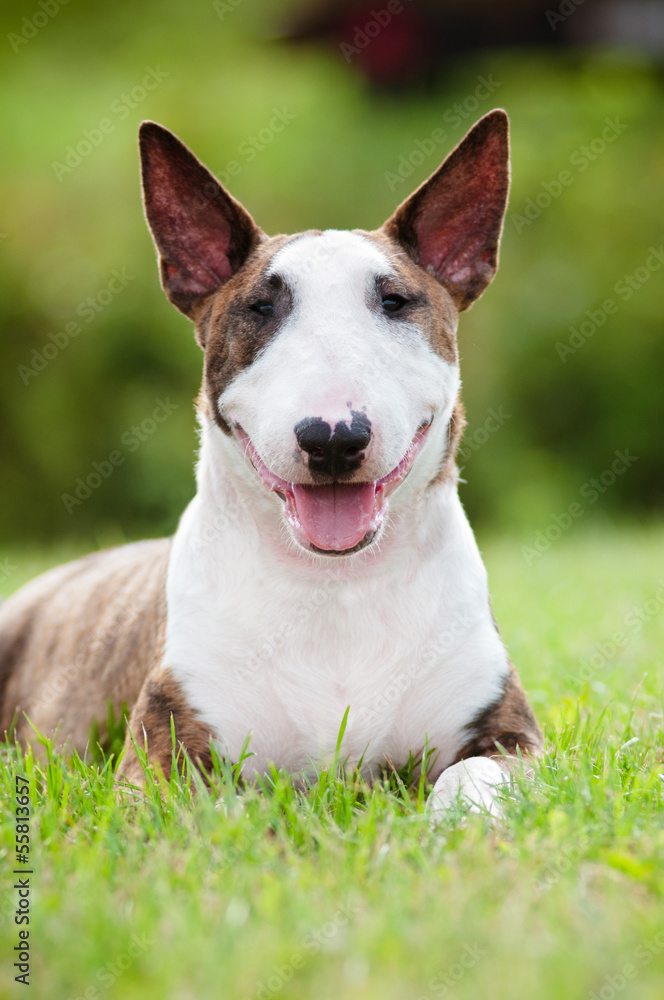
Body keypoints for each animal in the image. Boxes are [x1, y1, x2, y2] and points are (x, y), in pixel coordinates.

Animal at [0, 107, 540, 812]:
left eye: (395, 302)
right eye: (260, 307)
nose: (333, 438)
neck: (337, 588)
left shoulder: (515, 738)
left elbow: (475, 776)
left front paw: (455, 822)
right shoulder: (158, 762)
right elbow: (219, 805)